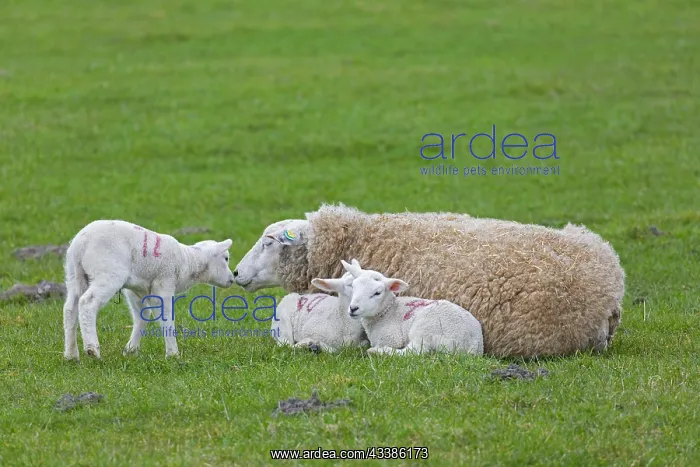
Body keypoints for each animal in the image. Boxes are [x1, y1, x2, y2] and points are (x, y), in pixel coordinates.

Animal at [62, 220, 235, 360]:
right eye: (226, 258)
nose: (232, 279)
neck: (187, 261)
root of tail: (82, 242)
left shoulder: (137, 290)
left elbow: (143, 316)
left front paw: (131, 350)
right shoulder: (164, 282)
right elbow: (166, 317)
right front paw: (173, 354)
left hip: (74, 274)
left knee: (70, 308)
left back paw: (71, 354)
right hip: (108, 272)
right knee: (87, 303)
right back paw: (92, 349)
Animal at [340, 259, 483, 356]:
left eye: (377, 293)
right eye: (353, 286)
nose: (353, 308)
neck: (387, 311)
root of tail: (473, 344)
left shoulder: (392, 337)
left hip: (426, 328)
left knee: (413, 352)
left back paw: (377, 351)